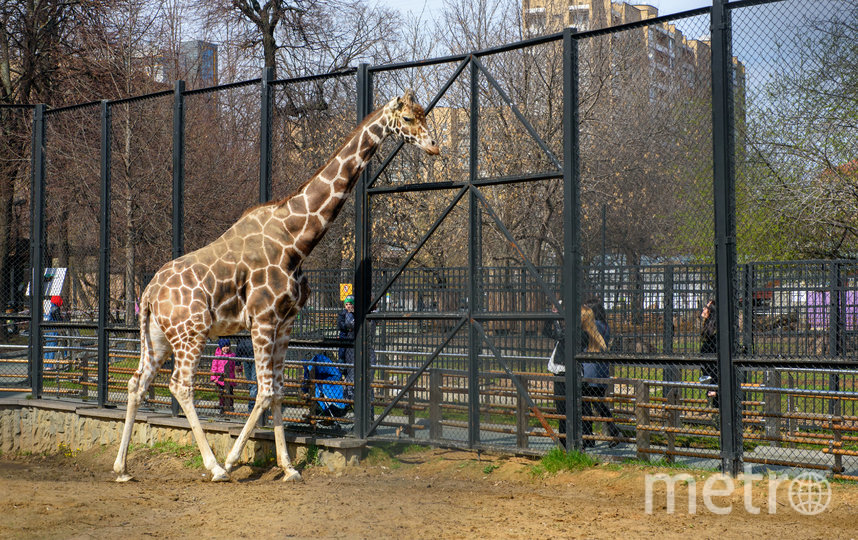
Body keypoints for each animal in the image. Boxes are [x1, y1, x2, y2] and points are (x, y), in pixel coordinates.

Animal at [113, 90, 438, 484]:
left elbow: (280, 392)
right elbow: (265, 392)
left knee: (137, 383)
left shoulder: (285, 324)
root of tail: (147, 292)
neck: (295, 240)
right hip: (192, 332)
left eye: (424, 114)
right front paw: (234, 460)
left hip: (159, 337)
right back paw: (214, 467)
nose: (434, 146)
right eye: (407, 118)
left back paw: (122, 468)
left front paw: (289, 467)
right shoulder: (263, 320)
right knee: (180, 385)